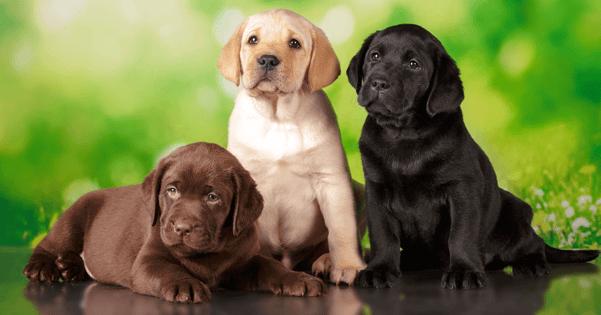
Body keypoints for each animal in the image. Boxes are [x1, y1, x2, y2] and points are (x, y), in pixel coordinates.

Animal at [23, 143, 324, 304]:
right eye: (172, 191)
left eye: (212, 197)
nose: (182, 228)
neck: (206, 254)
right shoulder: (148, 262)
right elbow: (168, 270)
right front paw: (185, 285)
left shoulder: (244, 261)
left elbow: (271, 266)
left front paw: (298, 278)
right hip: (75, 215)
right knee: (49, 244)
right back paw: (45, 267)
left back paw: (70, 267)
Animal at [217, 8, 366, 286]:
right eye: (253, 40)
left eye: (294, 43)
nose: (267, 60)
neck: (278, 118)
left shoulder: (332, 181)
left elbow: (341, 229)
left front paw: (348, 266)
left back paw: (325, 261)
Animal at [344, 24, 596, 292]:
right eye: (374, 56)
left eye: (413, 64)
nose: (378, 82)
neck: (404, 135)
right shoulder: (376, 189)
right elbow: (383, 234)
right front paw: (379, 270)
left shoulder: (462, 189)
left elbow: (461, 233)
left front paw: (463, 271)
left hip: (513, 213)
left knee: (534, 243)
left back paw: (531, 264)